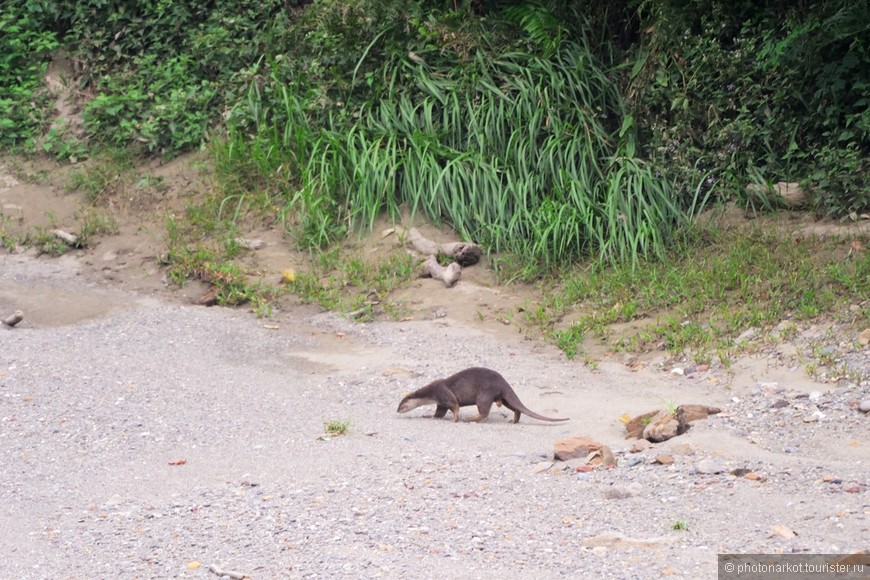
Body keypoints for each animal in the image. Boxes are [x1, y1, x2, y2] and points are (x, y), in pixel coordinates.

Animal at [396, 370, 572, 424]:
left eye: (401, 404)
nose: (397, 411)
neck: (430, 393)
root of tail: (503, 381)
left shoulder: (442, 393)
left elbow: (455, 405)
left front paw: (455, 419)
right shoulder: (441, 403)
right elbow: (439, 413)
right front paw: (429, 416)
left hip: (484, 394)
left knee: (484, 411)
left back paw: (470, 418)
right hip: (504, 397)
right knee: (516, 408)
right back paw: (513, 421)